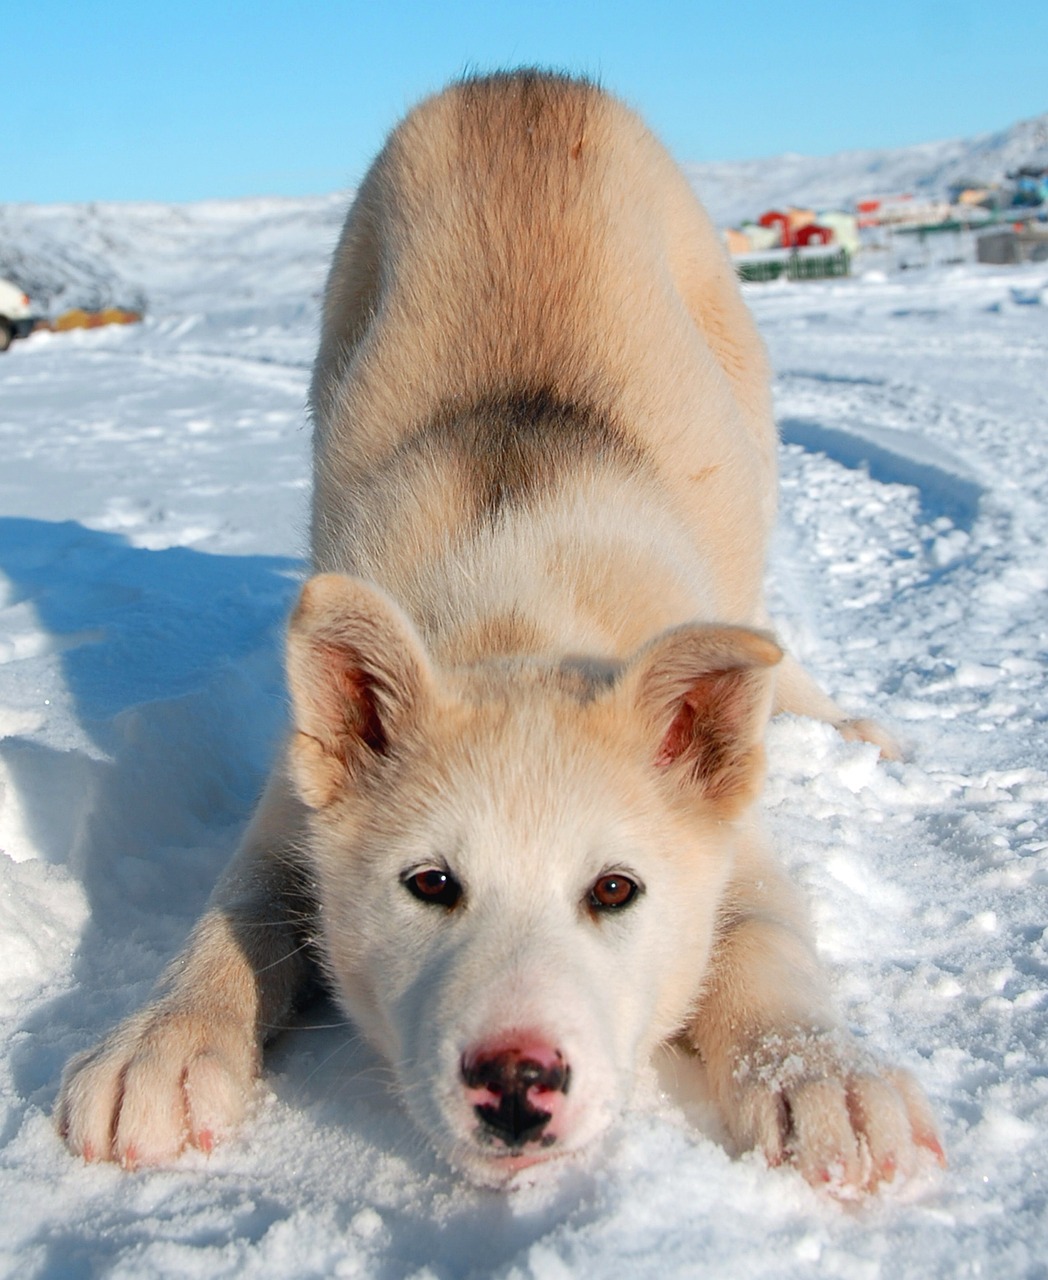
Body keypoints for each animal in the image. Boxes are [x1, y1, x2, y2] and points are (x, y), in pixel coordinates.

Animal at [53, 70, 946, 1187]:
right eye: (431, 883)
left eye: (615, 888)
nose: (516, 1082)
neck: (515, 610)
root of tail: (520, 79)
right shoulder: (289, 808)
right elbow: (235, 906)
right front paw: (163, 1040)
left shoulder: (734, 848)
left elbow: (764, 940)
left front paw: (817, 1071)